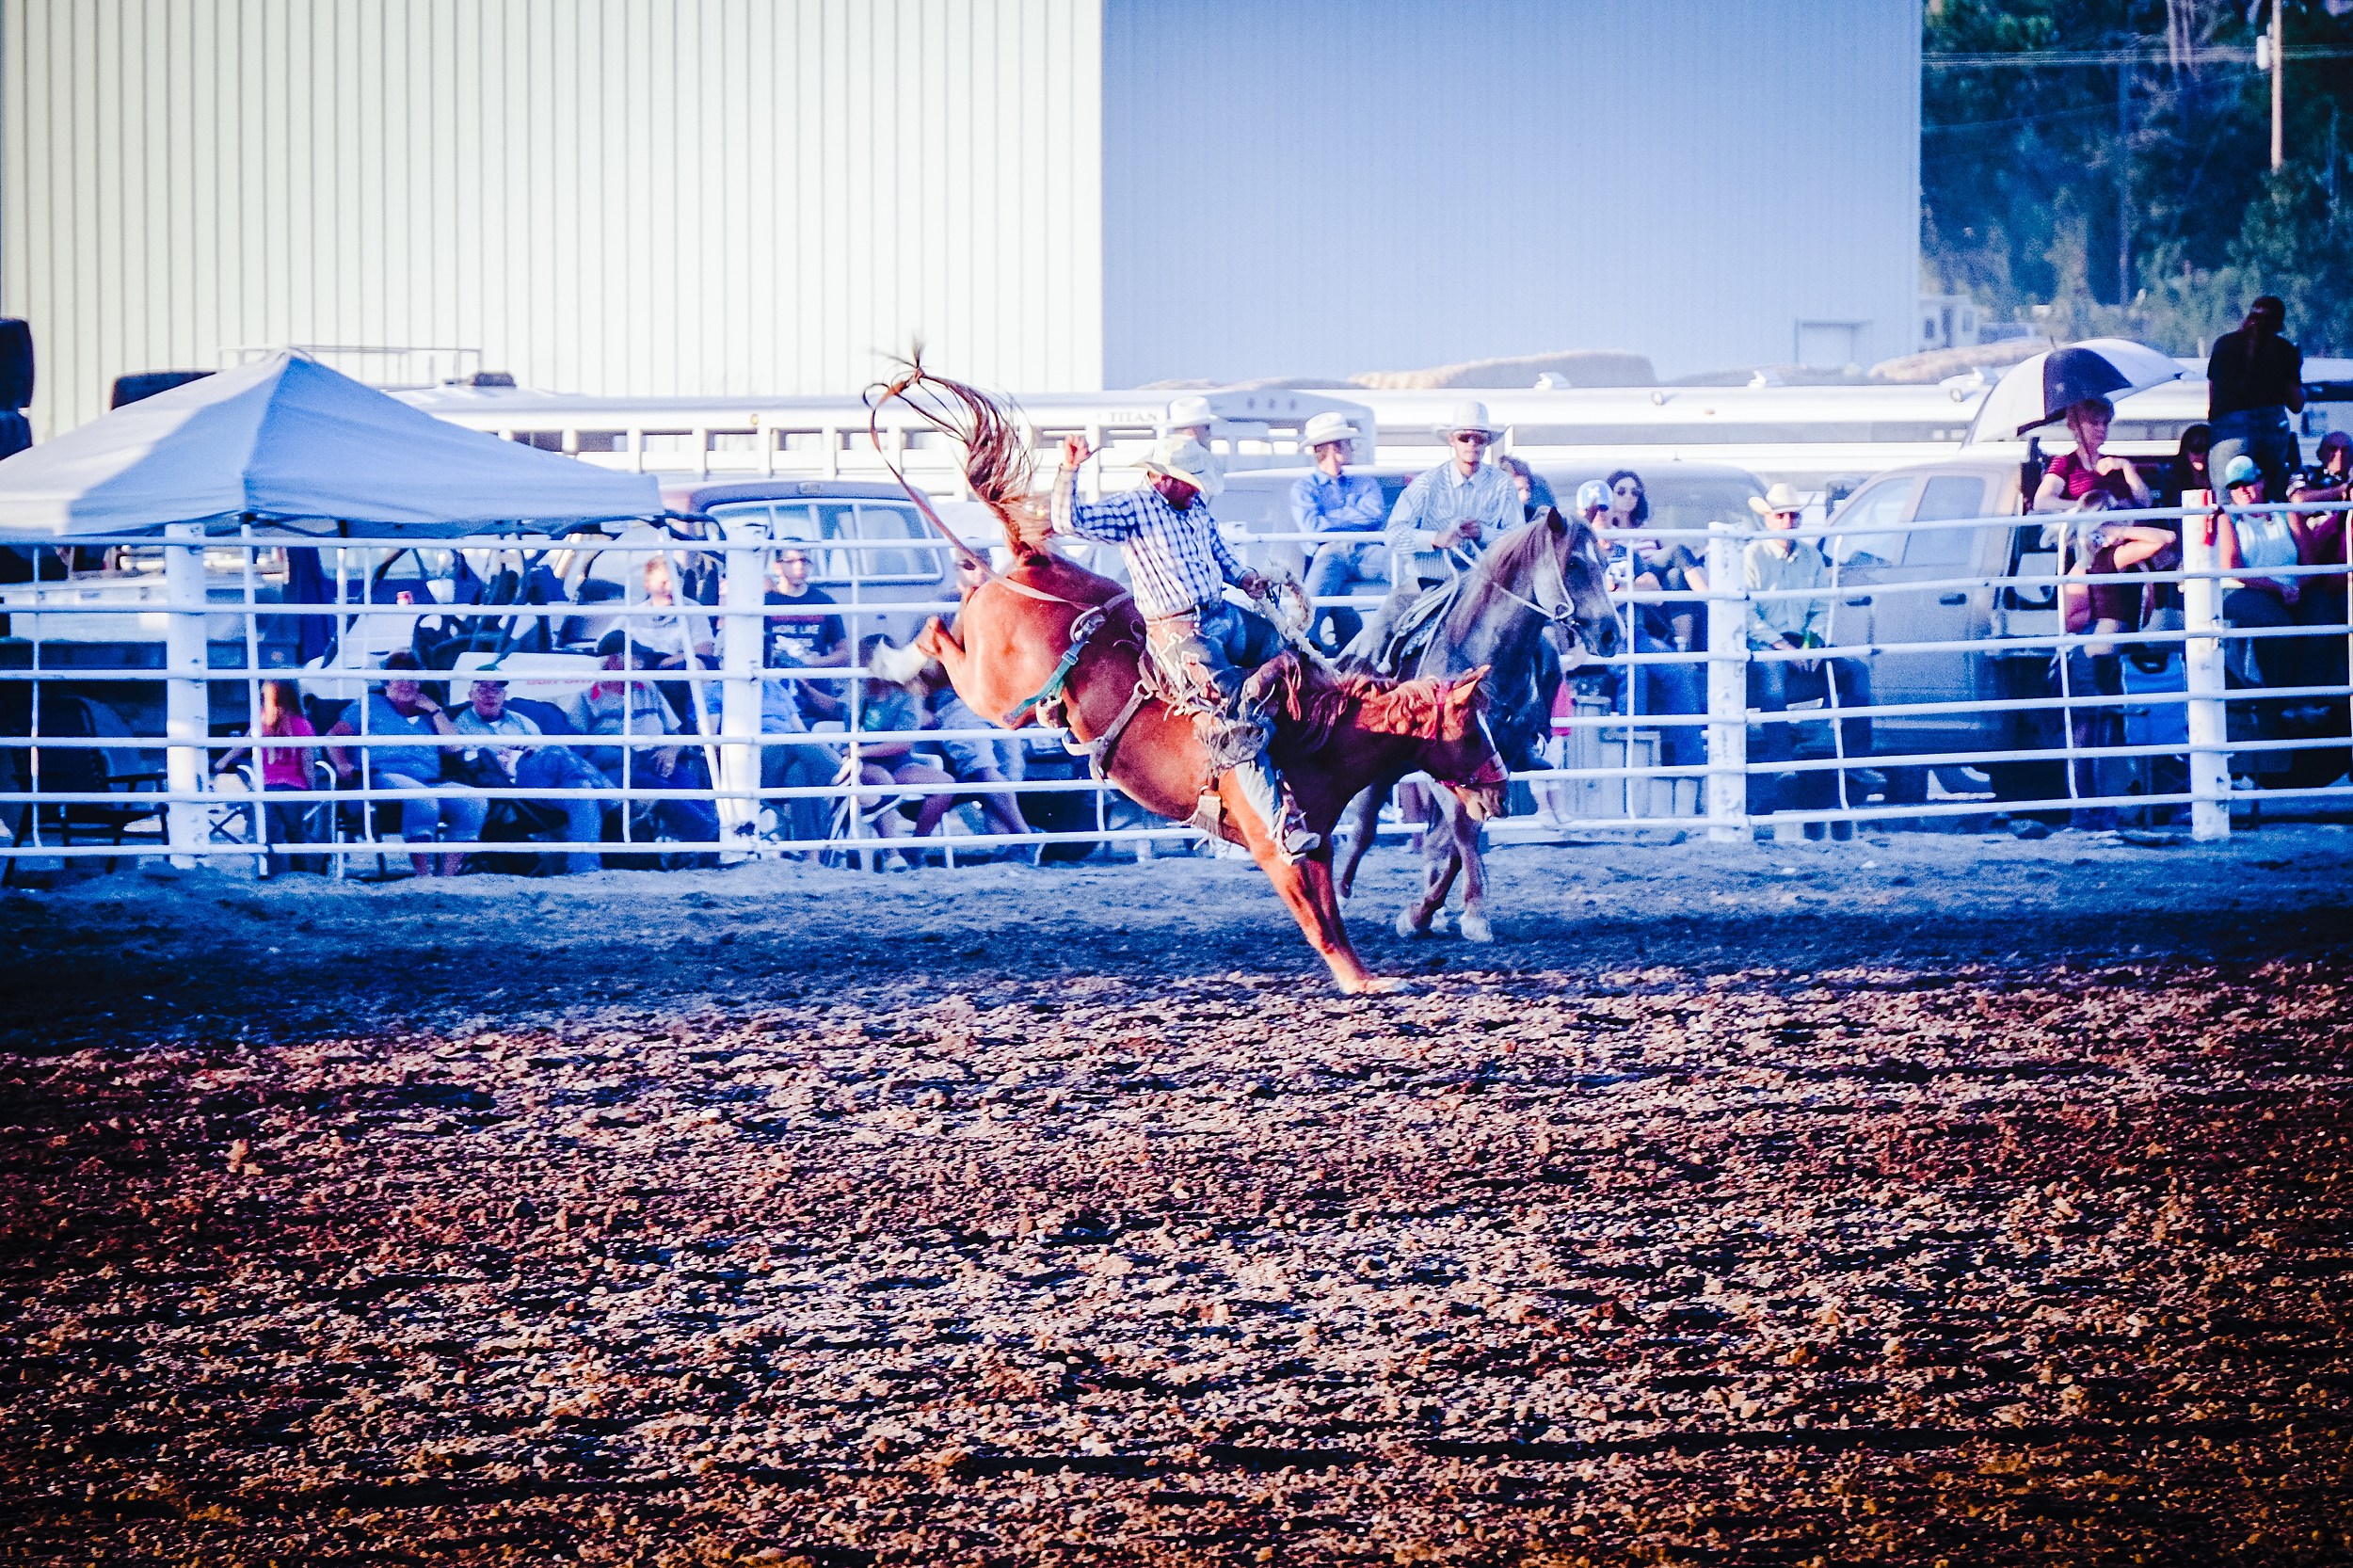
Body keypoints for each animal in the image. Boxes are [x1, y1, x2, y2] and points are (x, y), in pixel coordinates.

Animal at [875, 367, 1515, 988]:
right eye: (1469, 731)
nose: (1501, 792)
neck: (1317, 738)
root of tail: (1032, 562)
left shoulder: (1316, 842)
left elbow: (1330, 912)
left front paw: (1366, 976)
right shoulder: (1277, 846)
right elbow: (1318, 920)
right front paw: (1361, 980)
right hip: (995, 688)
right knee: (940, 636)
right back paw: (899, 657)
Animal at [1346, 505, 1619, 932]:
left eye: (1605, 564)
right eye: (1573, 563)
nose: (1610, 634)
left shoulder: (1497, 768)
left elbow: (1461, 838)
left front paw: (1426, 911)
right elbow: (1462, 829)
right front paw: (1471, 912)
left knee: (1426, 837)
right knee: (1363, 826)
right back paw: (1338, 896)